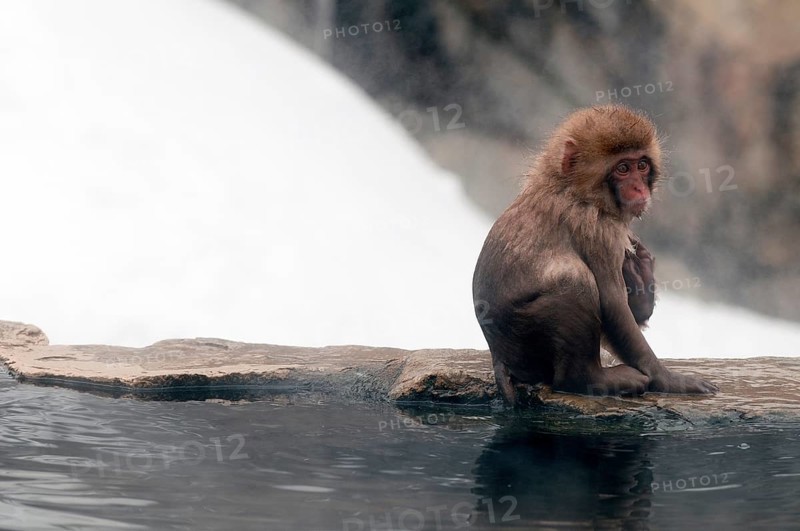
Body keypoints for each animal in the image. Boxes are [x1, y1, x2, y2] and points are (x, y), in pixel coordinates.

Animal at [472, 104, 717, 404]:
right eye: (622, 168)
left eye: (642, 165)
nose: (639, 188)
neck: (575, 190)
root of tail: (499, 356)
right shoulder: (597, 230)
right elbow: (613, 304)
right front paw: (670, 380)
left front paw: (641, 282)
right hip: (525, 339)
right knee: (574, 280)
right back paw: (587, 380)